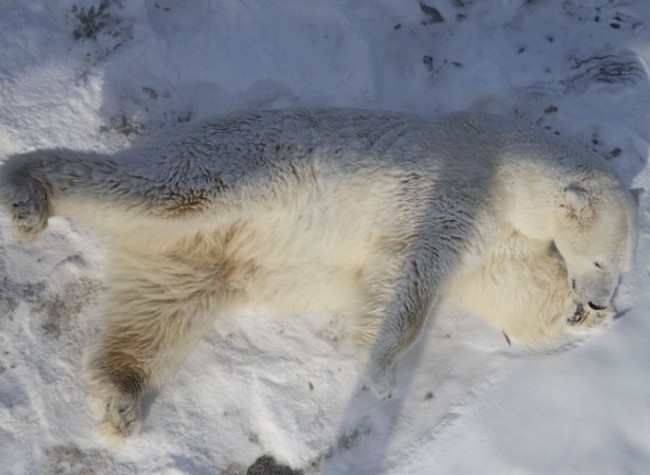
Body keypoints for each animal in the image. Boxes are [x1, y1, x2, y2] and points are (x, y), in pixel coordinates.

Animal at [0, 108, 639, 440]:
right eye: (603, 261)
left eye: (621, 267)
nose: (598, 299)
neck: (502, 159)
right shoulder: (450, 191)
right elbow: (411, 272)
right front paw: (382, 376)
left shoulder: (495, 239)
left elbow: (509, 282)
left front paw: (580, 317)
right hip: (225, 169)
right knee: (148, 189)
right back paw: (28, 196)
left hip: (192, 263)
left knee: (156, 313)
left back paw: (121, 399)